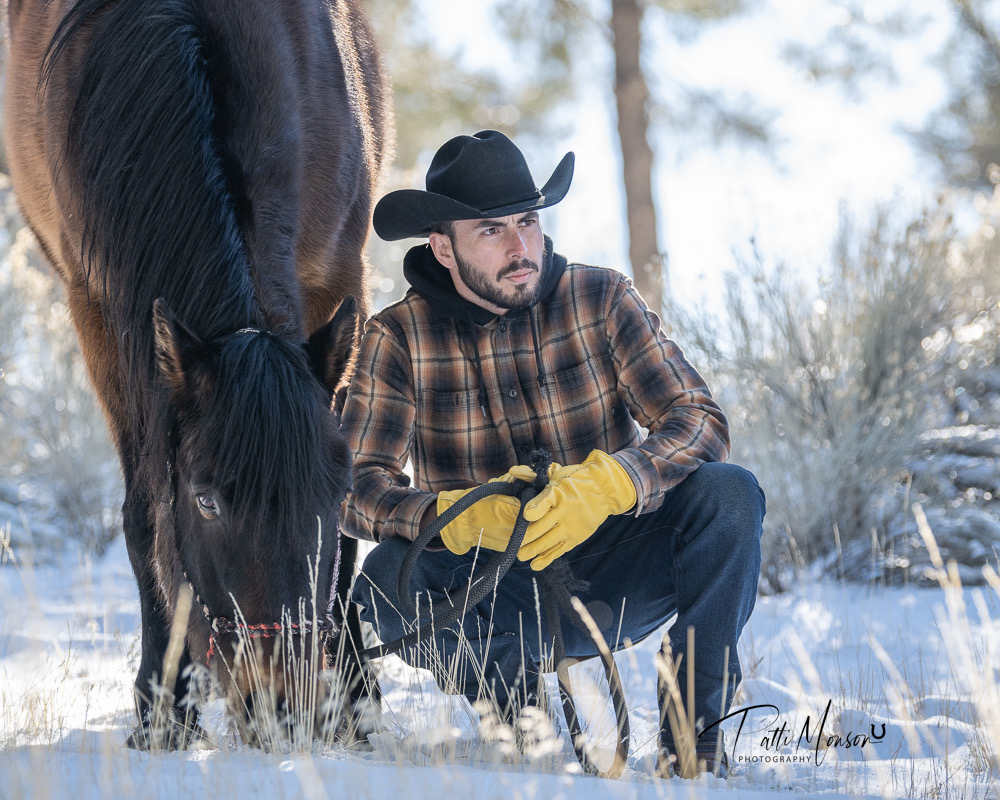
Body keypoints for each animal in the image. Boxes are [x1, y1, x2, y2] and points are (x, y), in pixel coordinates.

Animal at [5, 0, 392, 752]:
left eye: (332, 495)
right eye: (208, 501)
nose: (286, 706)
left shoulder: (339, 276)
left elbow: (353, 527)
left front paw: (354, 702)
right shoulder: (97, 307)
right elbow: (144, 511)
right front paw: (162, 708)